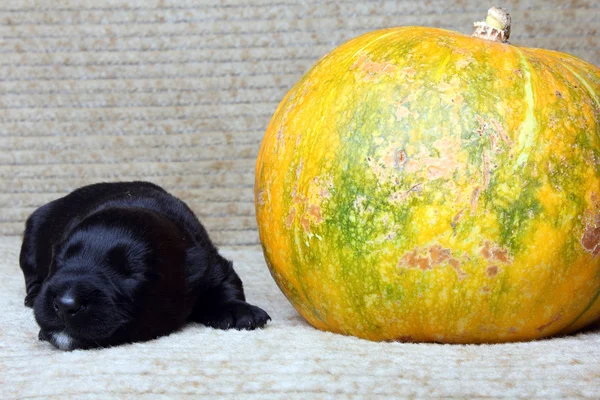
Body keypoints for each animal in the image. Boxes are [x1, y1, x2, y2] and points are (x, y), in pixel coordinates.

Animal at [19, 181, 270, 350]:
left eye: (131, 273)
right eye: (60, 259)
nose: (65, 304)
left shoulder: (210, 262)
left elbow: (227, 284)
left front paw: (237, 310)